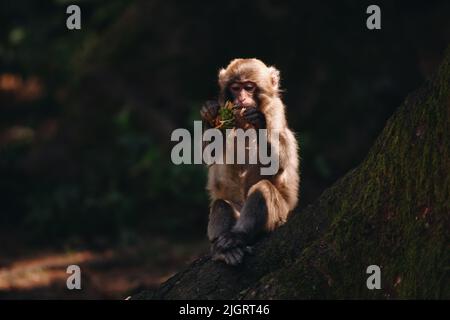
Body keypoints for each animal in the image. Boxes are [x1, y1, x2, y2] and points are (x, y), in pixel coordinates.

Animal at [200, 57, 298, 264]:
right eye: (236, 88)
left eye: (249, 87)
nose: (242, 99)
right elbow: (209, 158)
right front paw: (209, 113)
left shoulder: (275, 110)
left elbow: (277, 164)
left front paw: (259, 122)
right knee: (221, 204)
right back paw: (222, 249)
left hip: (280, 216)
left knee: (264, 188)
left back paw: (240, 235)